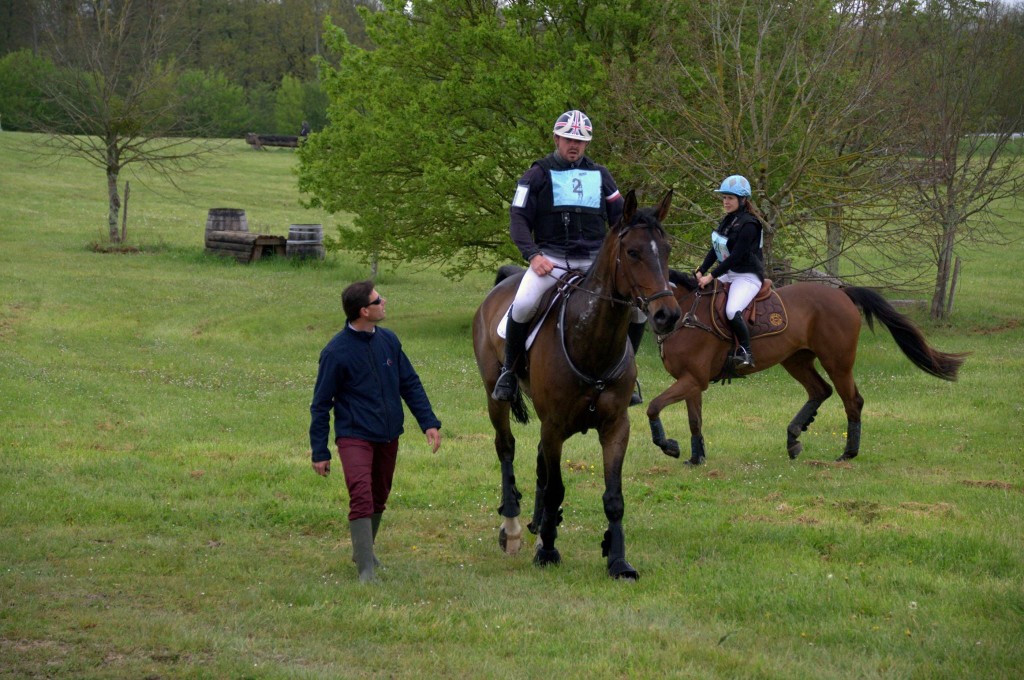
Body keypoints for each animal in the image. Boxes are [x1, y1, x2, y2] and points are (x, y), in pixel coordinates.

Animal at [468, 187, 679, 577]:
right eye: (633, 252)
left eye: (667, 248)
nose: (667, 315)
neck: (591, 341)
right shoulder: (554, 425)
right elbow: (555, 488)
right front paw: (548, 551)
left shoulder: (615, 426)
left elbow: (613, 497)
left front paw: (617, 559)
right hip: (496, 398)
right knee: (506, 448)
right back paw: (514, 528)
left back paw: (539, 527)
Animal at [647, 274, 966, 464]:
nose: (659, 318)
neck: (685, 313)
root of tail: (842, 293)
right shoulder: (692, 380)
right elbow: (694, 420)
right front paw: (695, 459)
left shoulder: (693, 379)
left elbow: (654, 406)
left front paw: (668, 446)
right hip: (796, 359)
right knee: (820, 390)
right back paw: (794, 437)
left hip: (836, 362)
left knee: (852, 400)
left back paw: (848, 452)